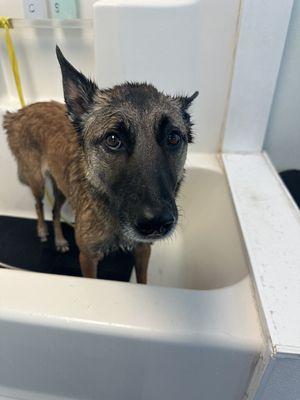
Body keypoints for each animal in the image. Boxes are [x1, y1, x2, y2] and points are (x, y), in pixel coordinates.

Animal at [3, 47, 199, 282]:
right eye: (113, 140)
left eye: (173, 138)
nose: (156, 224)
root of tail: (17, 113)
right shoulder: (87, 258)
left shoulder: (143, 251)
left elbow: (142, 279)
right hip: (37, 181)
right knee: (39, 205)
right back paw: (42, 230)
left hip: (61, 186)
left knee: (55, 211)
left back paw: (59, 240)